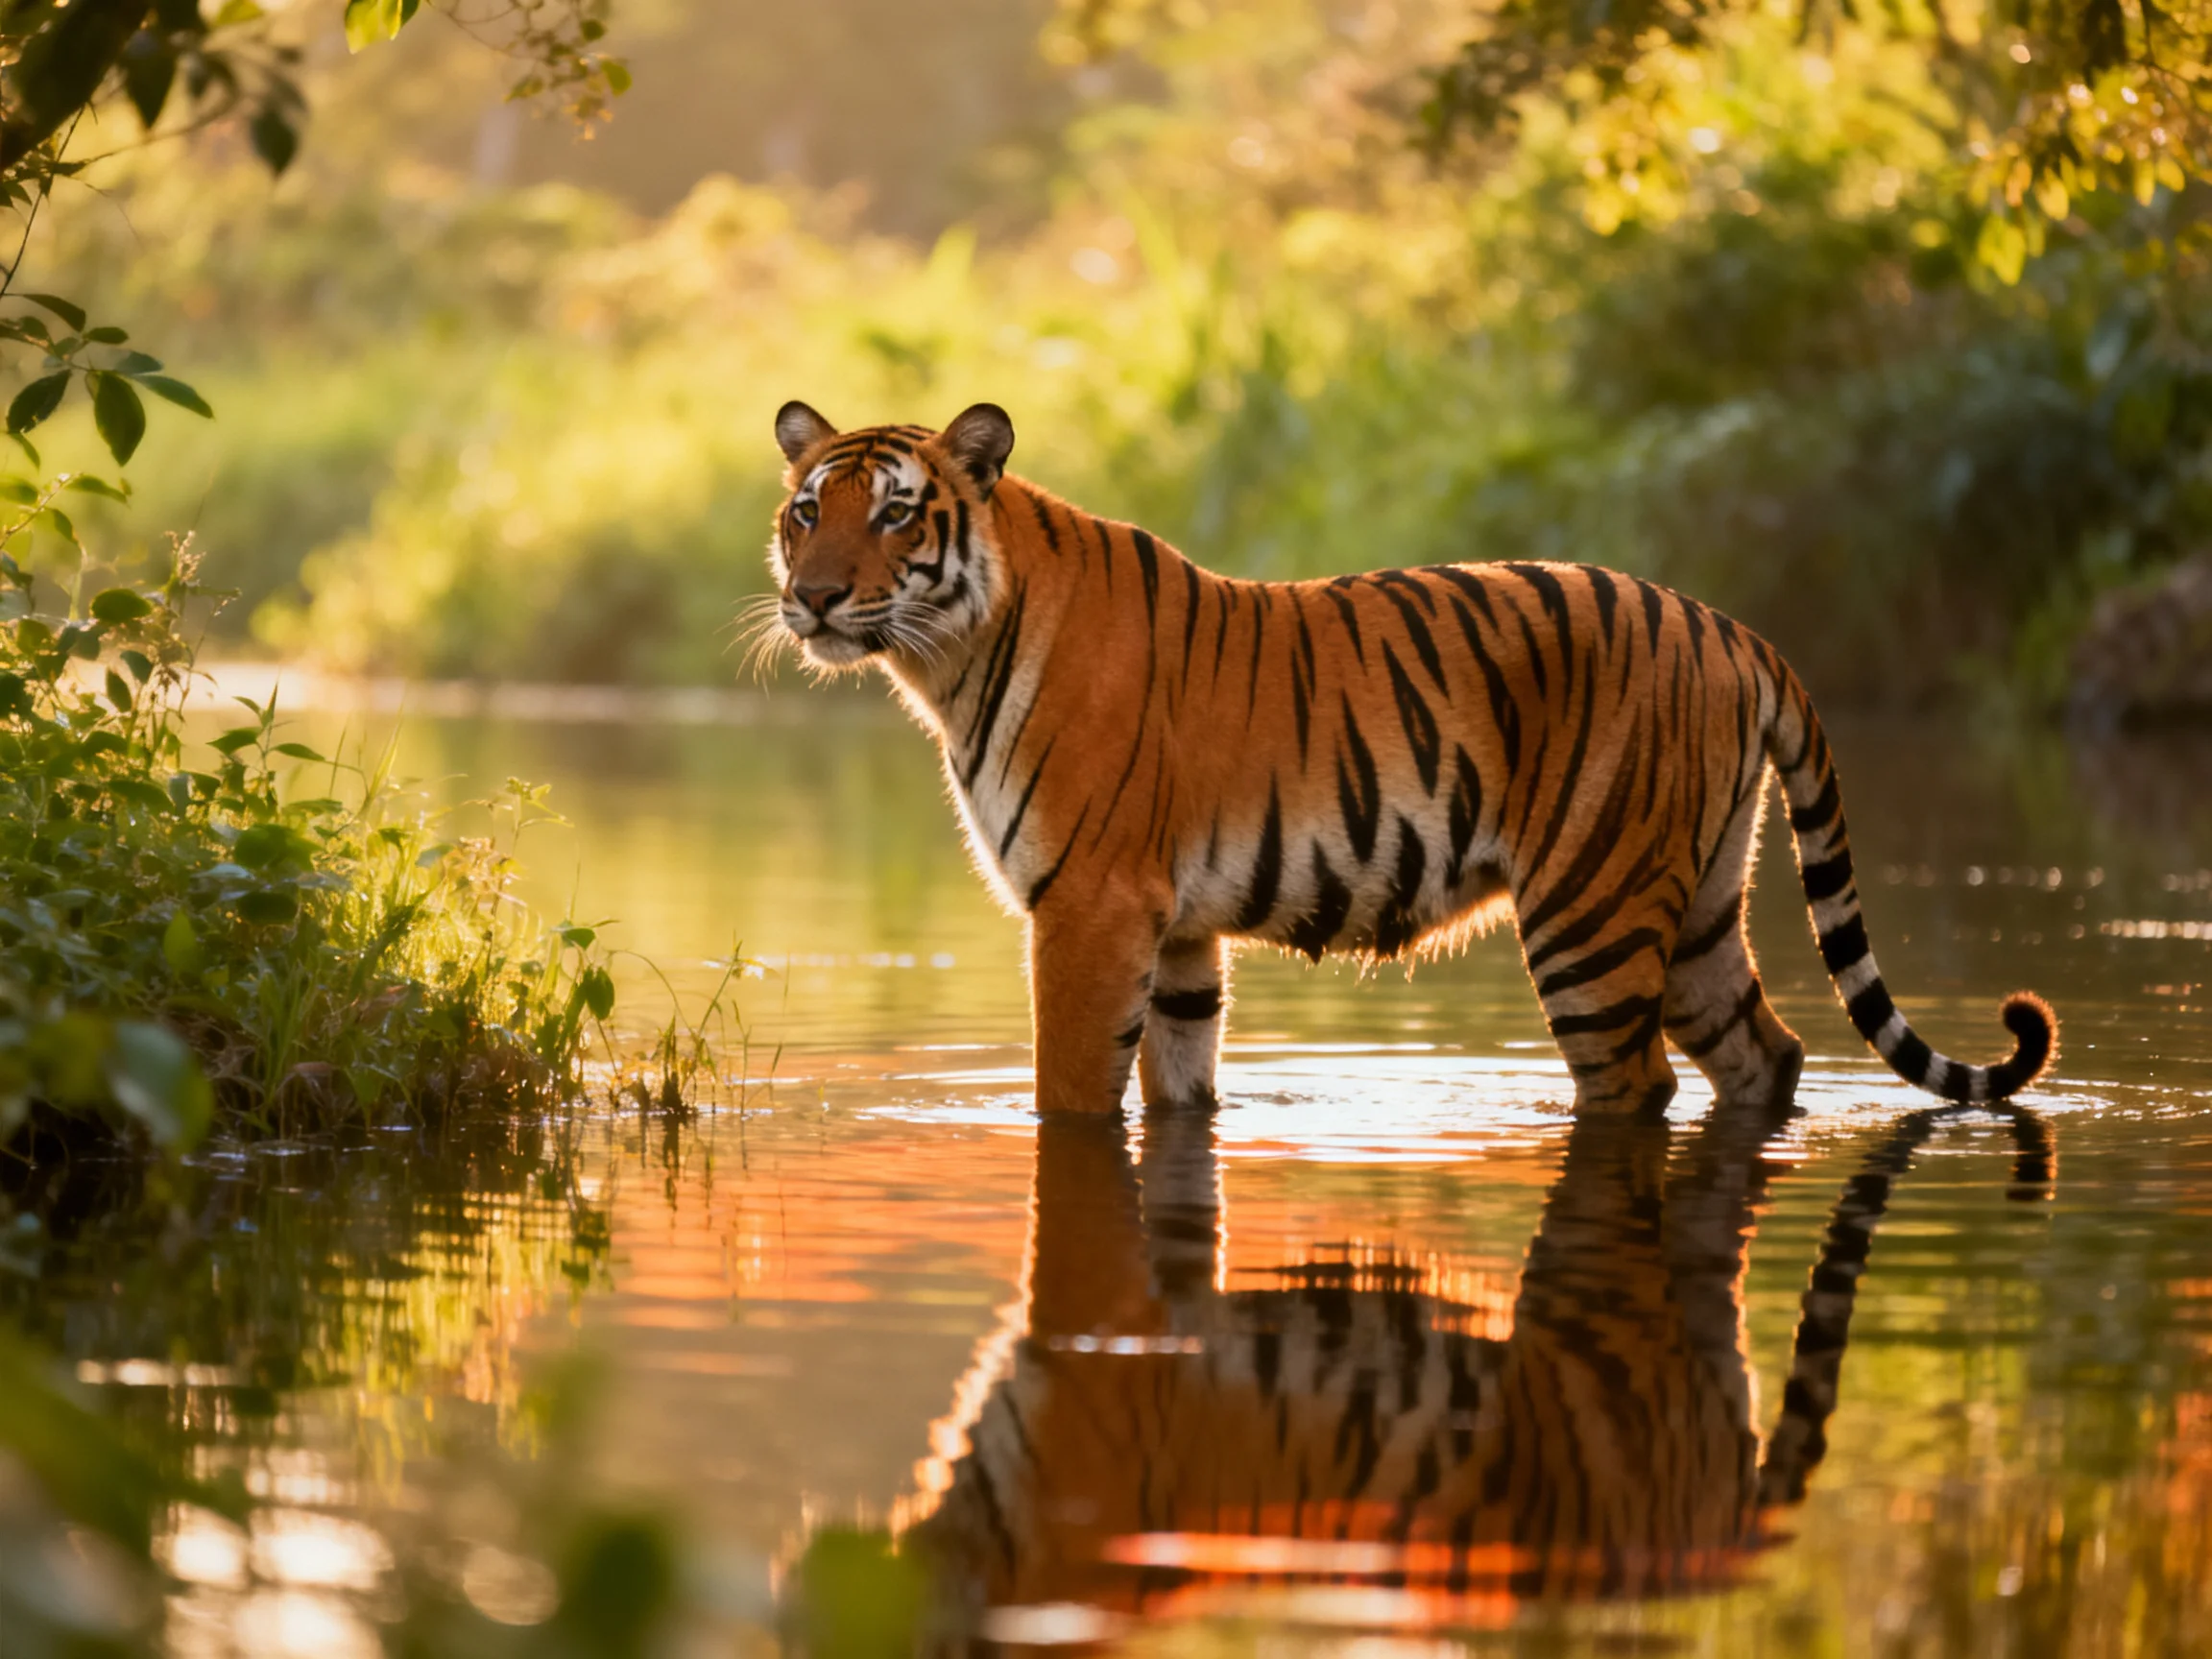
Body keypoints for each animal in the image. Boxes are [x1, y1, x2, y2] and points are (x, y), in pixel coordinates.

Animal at [765, 400, 2057, 1114]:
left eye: (894, 513)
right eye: (805, 511)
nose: (812, 597)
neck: (946, 662)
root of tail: (1735, 628)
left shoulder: (1090, 909)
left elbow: (1068, 1099)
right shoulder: (1175, 931)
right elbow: (1181, 1083)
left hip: (1591, 913)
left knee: (1640, 1081)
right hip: (1697, 905)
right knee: (1767, 1056)